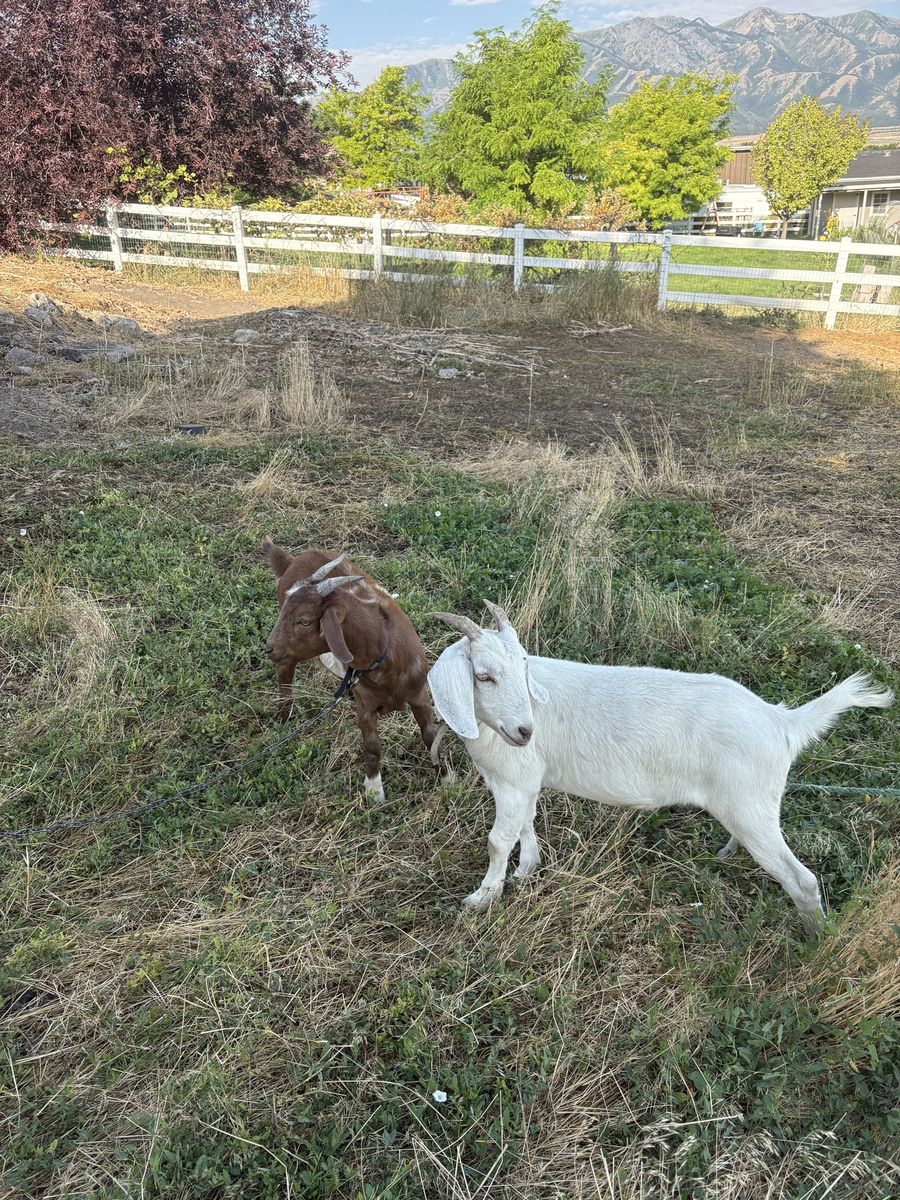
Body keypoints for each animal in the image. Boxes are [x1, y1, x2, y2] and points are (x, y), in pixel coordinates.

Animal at [262, 539, 443, 801]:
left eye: (304, 621)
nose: (268, 648)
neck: (385, 650)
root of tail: (291, 560)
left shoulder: (419, 693)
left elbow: (430, 734)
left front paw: (447, 779)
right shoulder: (366, 705)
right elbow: (372, 746)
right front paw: (375, 792)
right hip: (290, 655)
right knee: (285, 672)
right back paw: (285, 715)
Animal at [428, 602, 893, 938]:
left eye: (524, 665)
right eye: (484, 676)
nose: (525, 731)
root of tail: (782, 721)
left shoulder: (513, 780)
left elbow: (498, 841)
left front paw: (482, 898)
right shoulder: (522, 780)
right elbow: (525, 823)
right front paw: (527, 870)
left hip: (751, 805)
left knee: (803, 880)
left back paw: (816, 942)